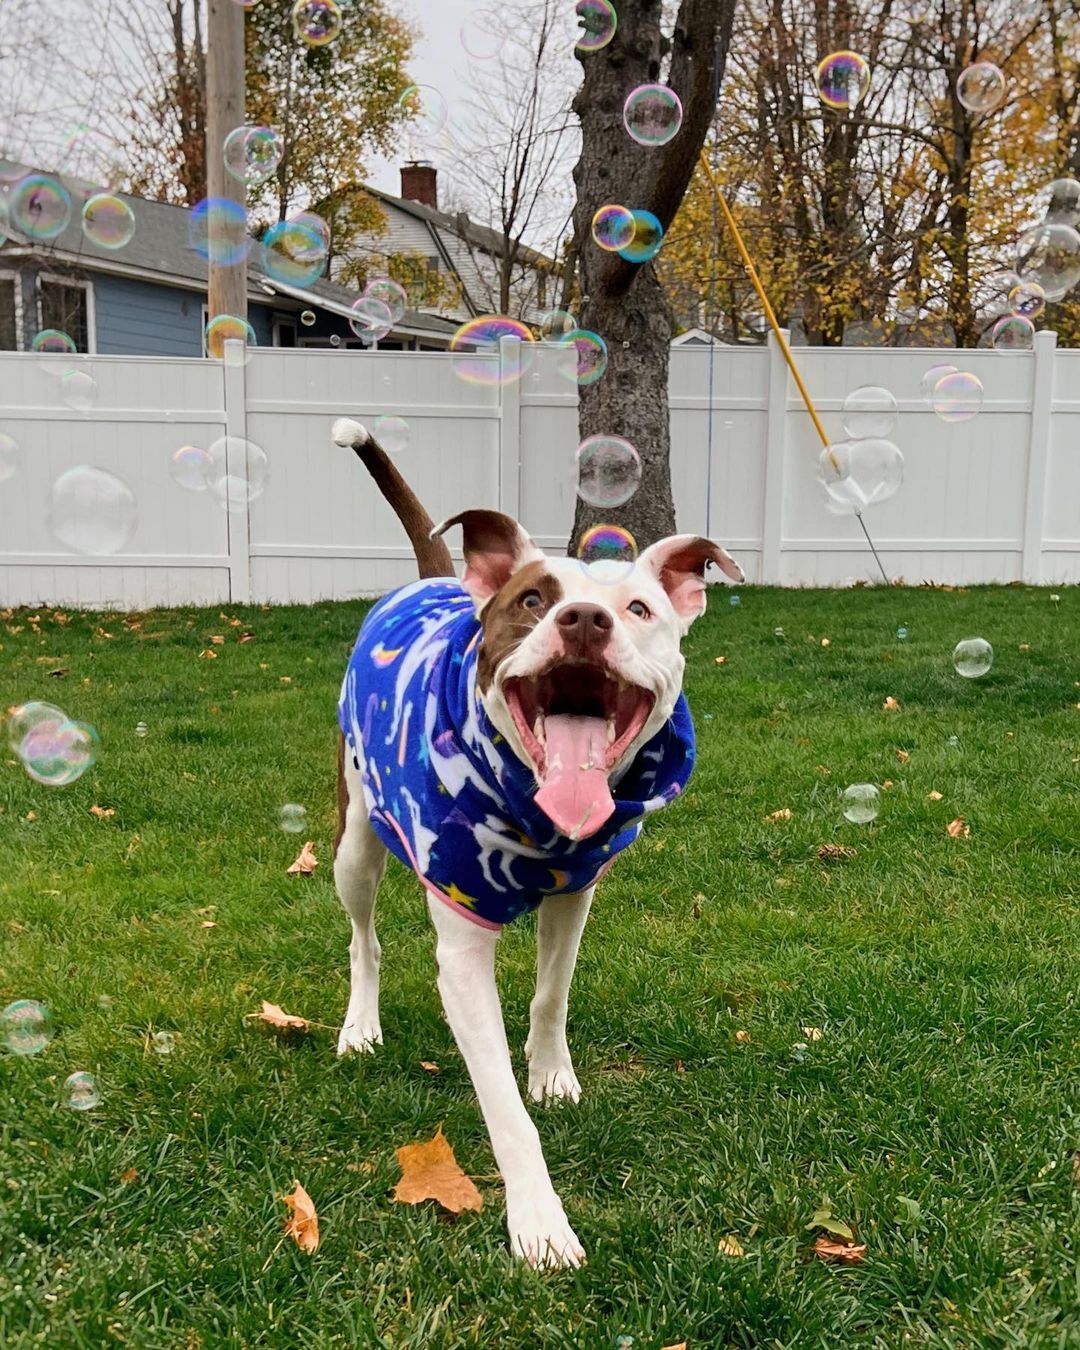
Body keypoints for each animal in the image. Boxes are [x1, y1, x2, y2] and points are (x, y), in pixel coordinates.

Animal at [329, 415, 745, 1269]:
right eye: (532, 600)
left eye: (640, 608)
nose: (584, 620)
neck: (533, 814)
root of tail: (434, 579)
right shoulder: (462, 951)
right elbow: (503, 1110)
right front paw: (540, 1222)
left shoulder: (576, 891)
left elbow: (553, 994)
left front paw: (551, 1074)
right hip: (356, 839)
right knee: (364, 937)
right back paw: (360, 1026)